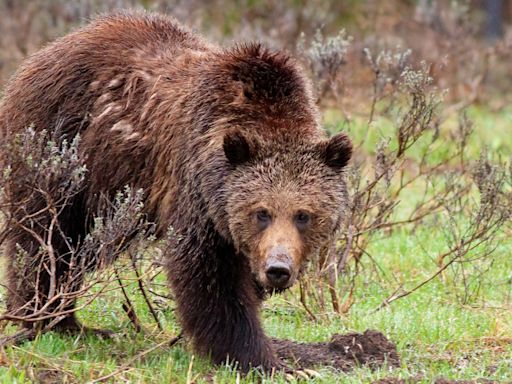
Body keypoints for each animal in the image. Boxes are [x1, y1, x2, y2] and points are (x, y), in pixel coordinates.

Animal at [0, 12, 352, 372]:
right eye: (261, 212)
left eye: (303, 215)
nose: (278, 269)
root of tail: (39, 56)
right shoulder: (197, 192)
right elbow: (209, 279)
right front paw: (259, 358)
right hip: (61, 153)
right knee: (47, 241)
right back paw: (50, 319)